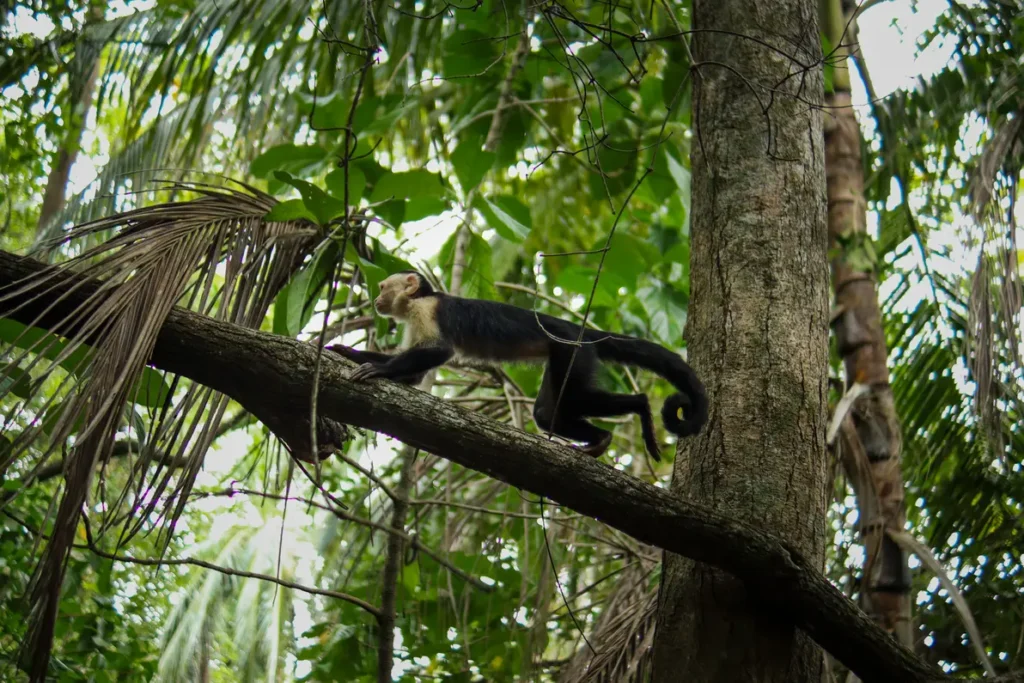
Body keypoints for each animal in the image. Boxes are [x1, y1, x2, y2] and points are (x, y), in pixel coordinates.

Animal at [328, 271, 707, 461]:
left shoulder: (427, 310)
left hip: (574, 352)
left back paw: (640, 406)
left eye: (381, 286)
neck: (420, 298)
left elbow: (439, 352)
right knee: (546, 413)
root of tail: (582, 332)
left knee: (576, 398)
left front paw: (377, 370)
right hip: (562, 358)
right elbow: (417, 372)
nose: (376, 299)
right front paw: (347, 351)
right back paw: (600, 439)